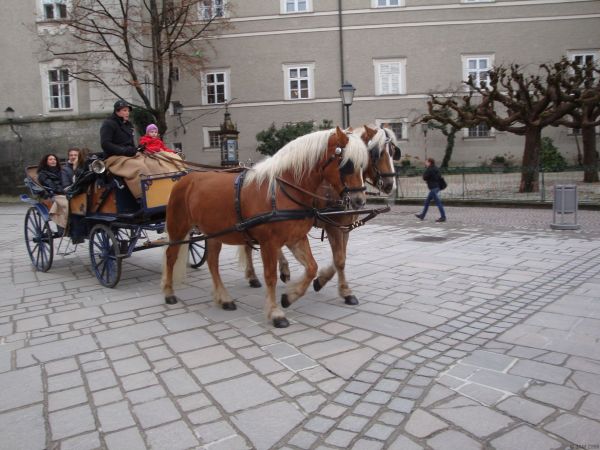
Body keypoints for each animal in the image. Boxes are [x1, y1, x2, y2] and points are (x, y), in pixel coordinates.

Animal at [162, 126, 368, 326]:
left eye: (363, 166)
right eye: (347, 164)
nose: (359, 200)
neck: (284, 190)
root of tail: (186, 177)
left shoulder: (296, 238)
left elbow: (312, 268)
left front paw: (289, 296)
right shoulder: (269, 243)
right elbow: (270, 276)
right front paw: (275, 312)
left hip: (213, 233)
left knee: (212, 263)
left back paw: (223, 298)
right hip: (178, 228)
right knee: (171, 256)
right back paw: (169, 292)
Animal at [239, 126, 398, 306]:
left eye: (393, 152)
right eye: (377, 153)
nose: (390, 185)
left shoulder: (344, 228)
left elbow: (340, 258)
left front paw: (321, 280)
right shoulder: (332, 226)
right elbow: (339, 260)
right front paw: (345, 291)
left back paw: (282, 269)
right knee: (248, 245)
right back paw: (253, 276)